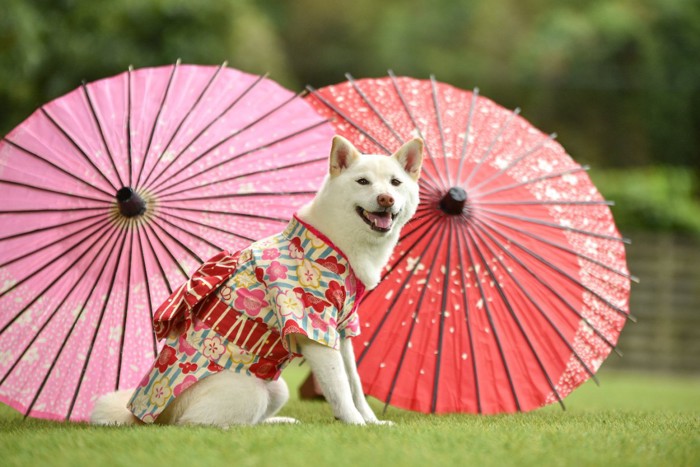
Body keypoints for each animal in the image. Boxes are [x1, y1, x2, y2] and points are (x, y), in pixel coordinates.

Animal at [91, 135, 424, 428]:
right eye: (362, 182)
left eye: (395, 183)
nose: (386, 198)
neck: (335, 243)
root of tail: (139, 413)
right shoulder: (313, 329)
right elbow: (340, 388)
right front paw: (356, 424)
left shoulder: (340, 330)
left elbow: (354, 382)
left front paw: (372, 420)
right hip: (247, 391)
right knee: (197, 424)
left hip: (275, 388)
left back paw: (281, 422)